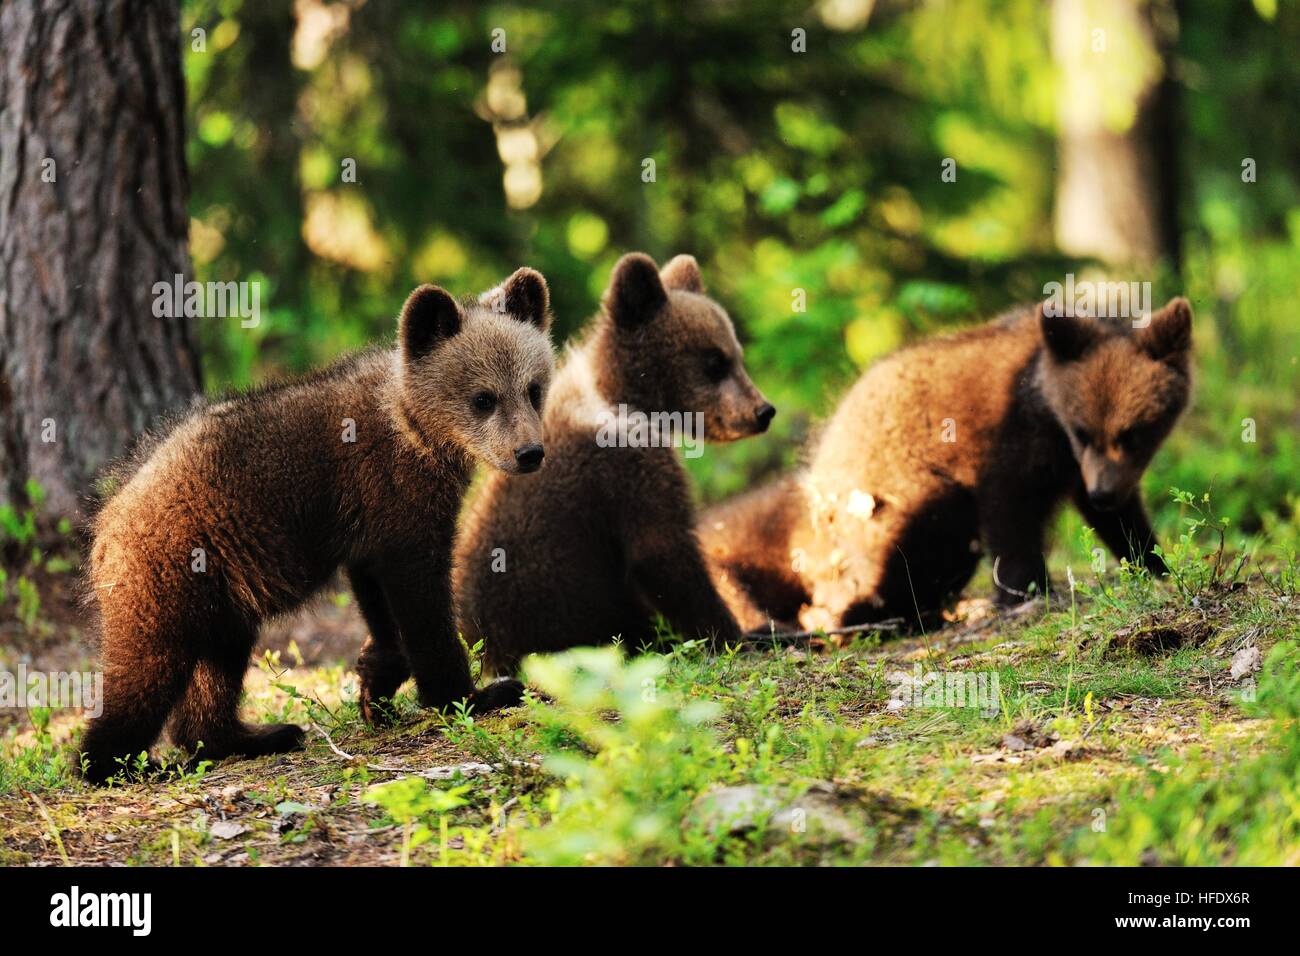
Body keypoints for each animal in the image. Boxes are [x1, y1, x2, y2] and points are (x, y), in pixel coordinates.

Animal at [77, 268, 554, 784]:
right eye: (483, 398)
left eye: (533, 388)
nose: (529, 453)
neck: (418, 429)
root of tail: (107, 519)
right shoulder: (396, 495)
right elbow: (421, 600)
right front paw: (473, 695)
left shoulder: (371, 522)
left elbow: (379, 599)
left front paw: (374, 686)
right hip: (169, 570)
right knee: (148, 668)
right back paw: (122, 763)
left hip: (221, 590)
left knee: (217, 665)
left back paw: (256, 735)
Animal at [453, 252, 776, 675]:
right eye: (714, 362)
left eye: (736, 355)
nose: (763, 411)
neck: (622, 397)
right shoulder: (626, 468)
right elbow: (662, 551)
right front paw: (733, 634)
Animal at [700, 296, 1194, 632]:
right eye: (1082, 429)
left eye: (1134, 431)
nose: (1104, 492)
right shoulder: (1007, 445)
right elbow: (1010, 516)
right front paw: (1025, 592)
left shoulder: (1081, 468)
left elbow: (1122, 522)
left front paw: (1156, 562)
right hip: (886, 504)